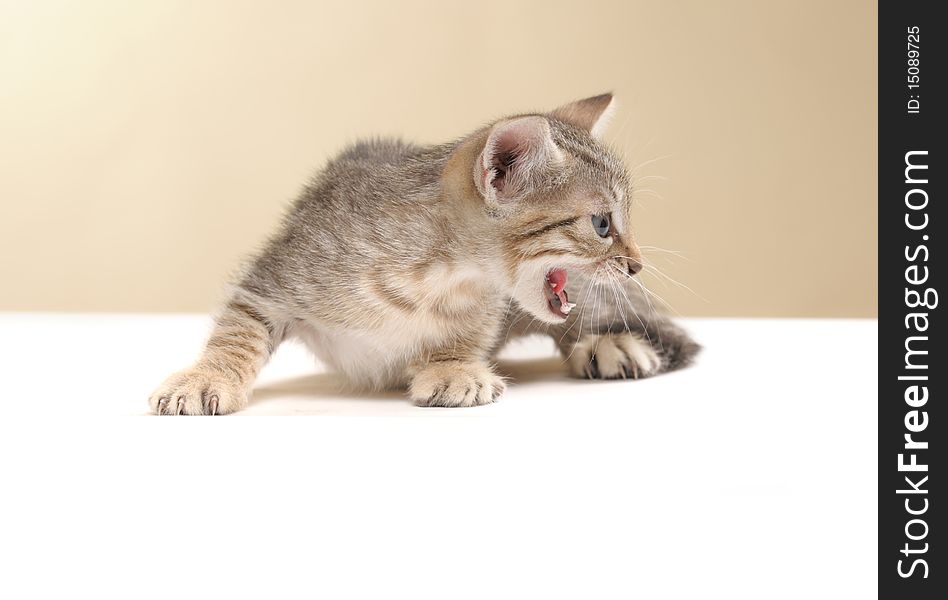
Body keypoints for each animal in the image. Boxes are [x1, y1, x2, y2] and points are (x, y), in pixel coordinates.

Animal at [148, 94, 696, 414]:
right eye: (603, 224)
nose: (636, 263)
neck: (433, 277)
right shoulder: (274, 275)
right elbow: (237, 331)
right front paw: (205, 377)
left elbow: (466, 337)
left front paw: (452, 367)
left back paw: (614, 344)